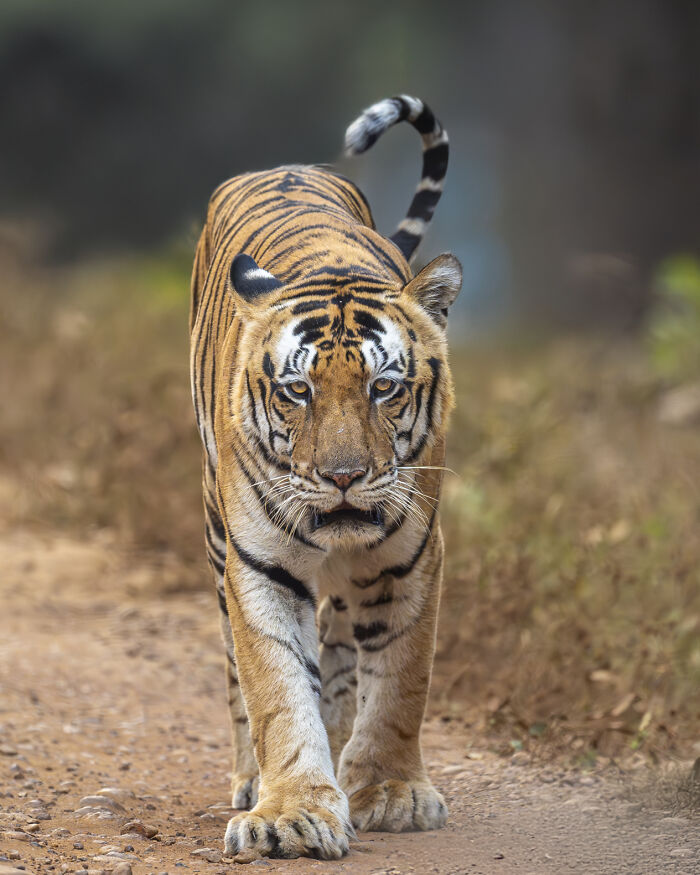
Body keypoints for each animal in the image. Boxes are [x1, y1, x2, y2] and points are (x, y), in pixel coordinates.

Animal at [189, 95, 462, 860]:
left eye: (383, 387)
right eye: (297, 391)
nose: (343, 476)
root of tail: (286, 166)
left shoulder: (412, 559)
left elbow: (400, 682)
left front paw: (392, 793)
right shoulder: (259, 565)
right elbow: (277, 689)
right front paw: (290, 813)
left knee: (343, 655)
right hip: (217, 536)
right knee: (238, 669)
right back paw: (254, 779)